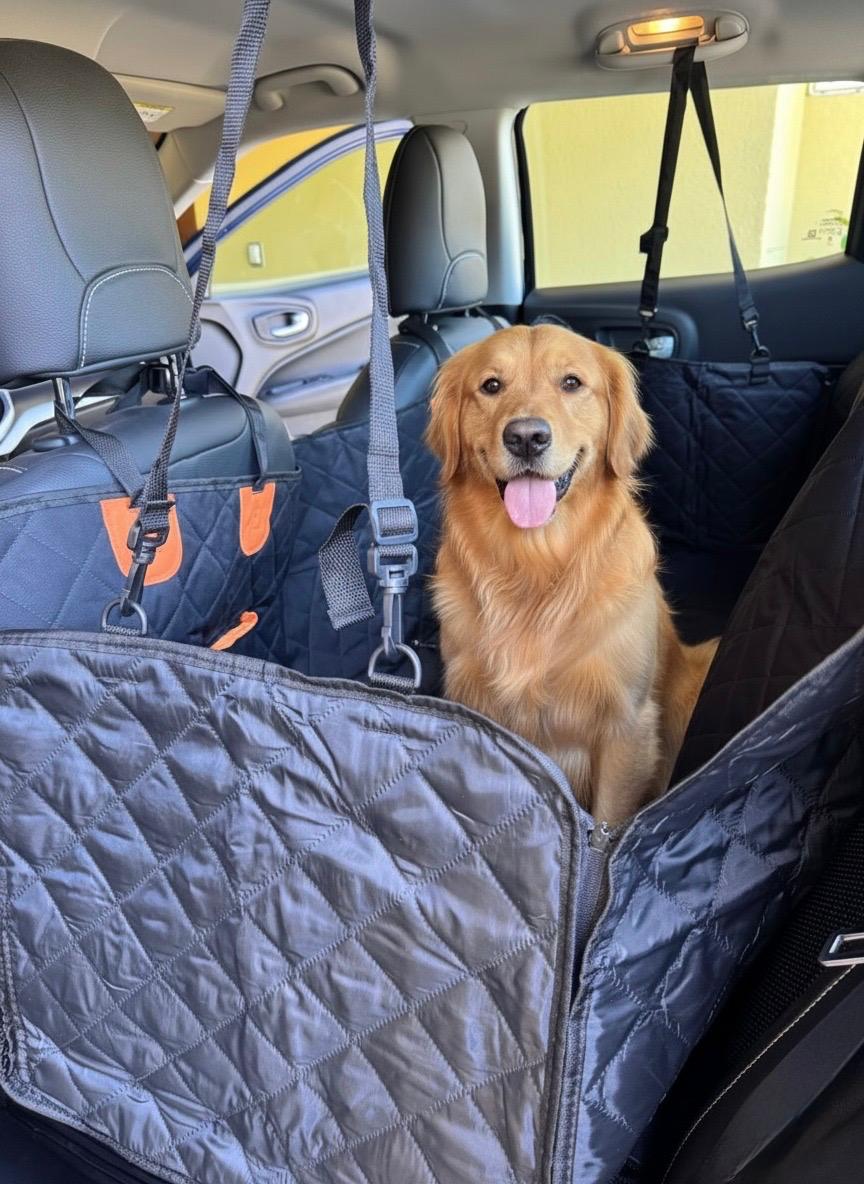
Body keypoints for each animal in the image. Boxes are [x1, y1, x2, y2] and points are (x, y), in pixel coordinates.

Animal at [426, 324, 717, 826]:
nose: (526, 436)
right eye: (491, 385)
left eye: (571, 383)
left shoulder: (626, 726)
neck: (536, 564)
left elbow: (606, 824)